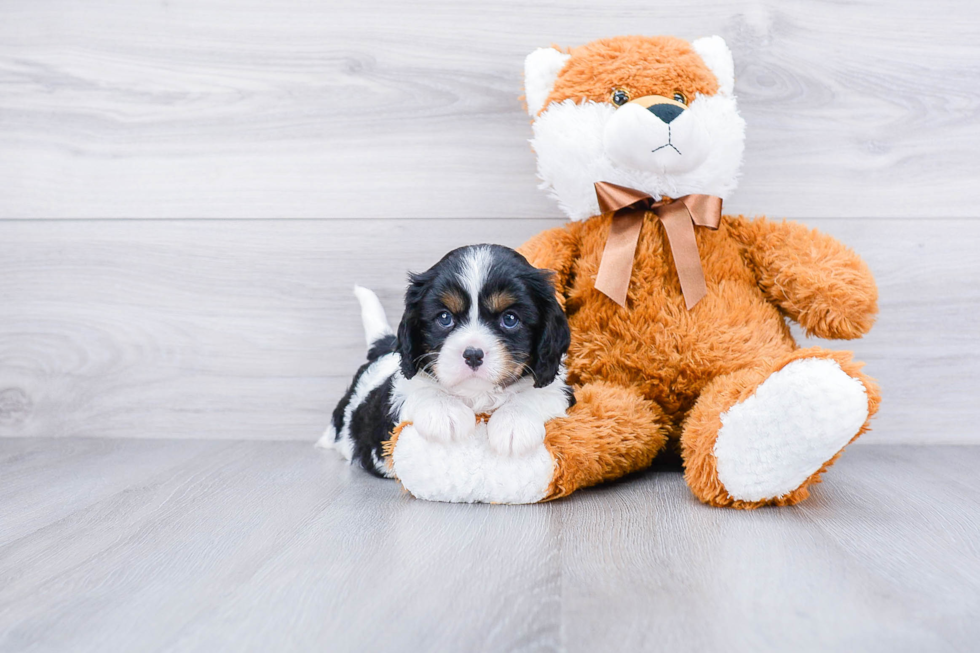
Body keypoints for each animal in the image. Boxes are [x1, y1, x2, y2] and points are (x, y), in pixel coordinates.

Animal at [318, 242, 576, 476]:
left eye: (510, 319)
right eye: (444, 318)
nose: (473, 354)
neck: (477, 396)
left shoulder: (561, 390)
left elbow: (537, 393)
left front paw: (514, 423)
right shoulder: (402, 389)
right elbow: (418, 388)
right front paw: (446, 412)